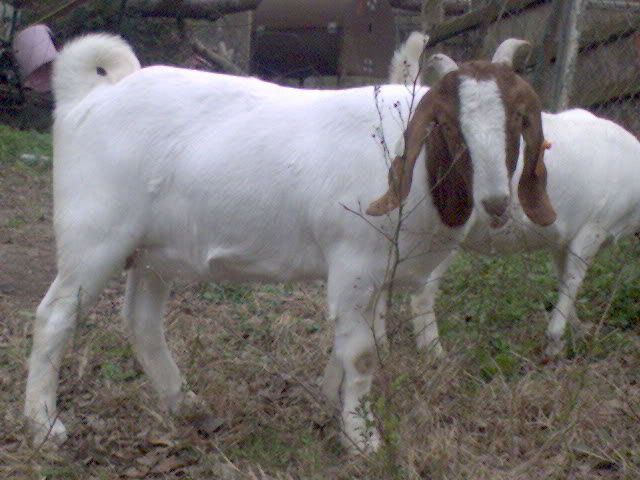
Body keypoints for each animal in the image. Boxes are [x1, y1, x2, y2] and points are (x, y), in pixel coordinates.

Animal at [24, 33, 553, 452]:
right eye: (447, 124)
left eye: (516, 122)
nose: (496, 202)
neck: (412, 160)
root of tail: (87, 97)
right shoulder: (355, 262)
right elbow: (362, 354)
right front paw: (362, 439)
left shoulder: (370, 277)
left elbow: (348, 347)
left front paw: (330, 403)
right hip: (95, 236)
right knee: (54, 316)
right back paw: (44, 425)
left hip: (154, 252)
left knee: (142, 321)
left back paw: (185, 404)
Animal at [391, 34, 640, 358]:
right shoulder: (592, 230)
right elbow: (572, 283)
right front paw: (554, 344)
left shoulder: (565, 238)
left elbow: (564, 280)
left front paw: (578, 331)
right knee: (421, 293)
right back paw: (436, 355)